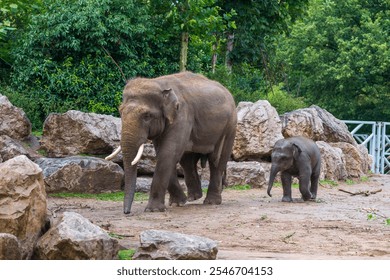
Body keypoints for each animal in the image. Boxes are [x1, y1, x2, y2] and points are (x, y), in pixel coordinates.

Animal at [105, 71, 236, 213]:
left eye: (147, 116)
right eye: (120, 112)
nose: (126, 212)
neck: (158, 83)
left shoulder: (182, 115)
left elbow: (168, 153)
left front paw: (153, 210)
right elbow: (164, 154)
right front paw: (177, 203)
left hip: (230, 126)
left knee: (216, 159)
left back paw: (211, 202)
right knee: (187, 160)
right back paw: (193, 198)